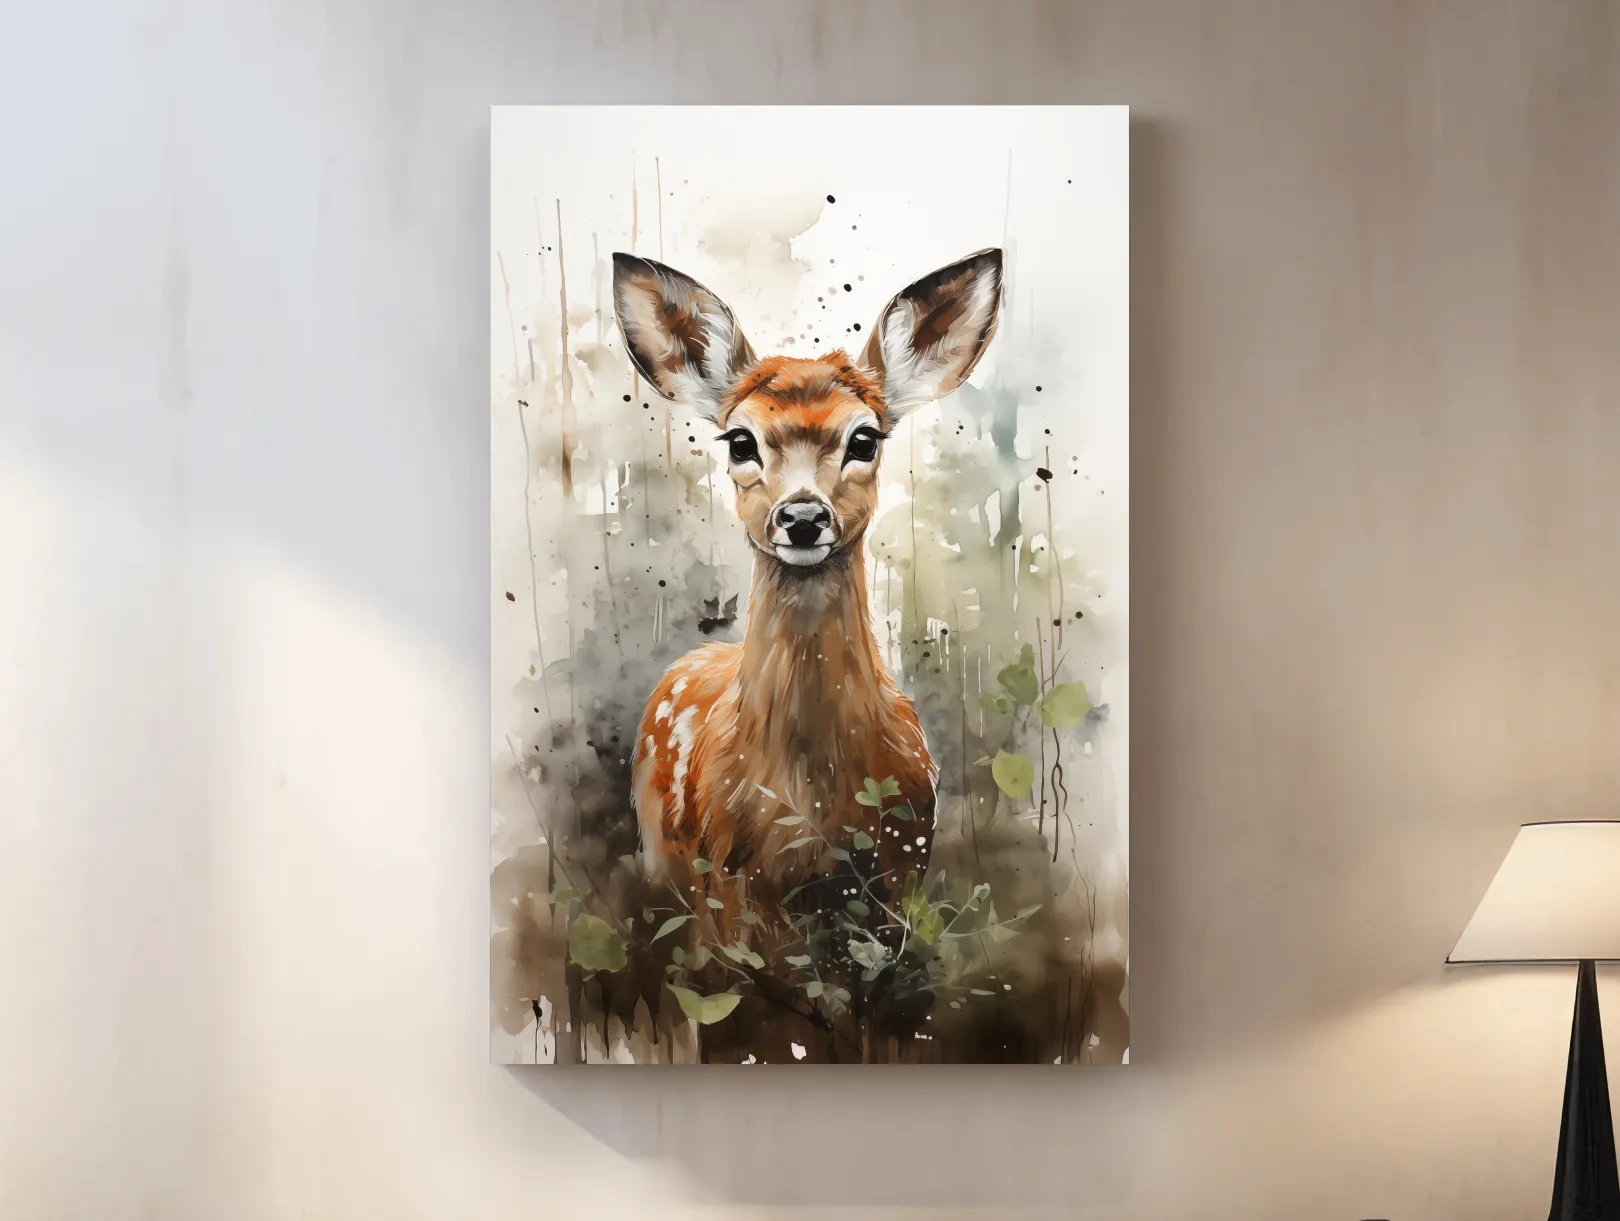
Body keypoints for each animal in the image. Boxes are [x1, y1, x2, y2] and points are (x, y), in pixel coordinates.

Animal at [613, 247, 1004, 940]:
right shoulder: (729, 886)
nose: (801, 517)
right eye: (740, 440)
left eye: (865, 438)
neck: (811, 806)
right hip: (664, 857)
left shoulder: (903, 869)